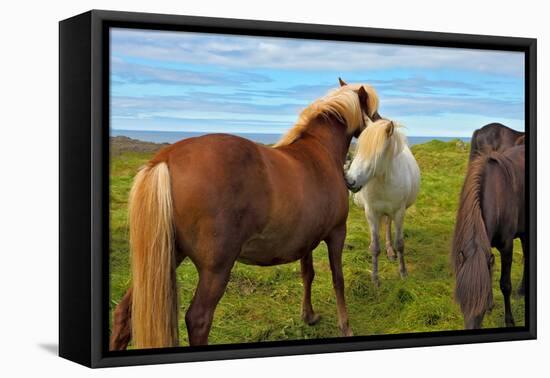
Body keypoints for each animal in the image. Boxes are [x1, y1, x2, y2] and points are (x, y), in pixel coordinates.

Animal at [110, 81, 382, 350]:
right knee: (198, 319)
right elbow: (338, 280)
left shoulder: (306, 240)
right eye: (371, 108)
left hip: (167, 257)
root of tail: (164, 159)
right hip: (215, 269)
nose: (381, 121)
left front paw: (309, 316)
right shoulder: (337, 233)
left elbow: (308, 274)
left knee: (125, 313)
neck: (320, 151)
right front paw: (345, 326)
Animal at [344, 118, 422, 286]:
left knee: (387, 225)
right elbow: (375, 246)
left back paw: (390, 250)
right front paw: (375, 278)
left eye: (377, 154)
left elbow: (400, 243)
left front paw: (403, 272)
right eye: (359, 149)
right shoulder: (372, 213)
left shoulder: (399, 212)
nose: (350, 182)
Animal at [454, 144, 528, 328]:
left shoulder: (507, 247)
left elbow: (505, 285)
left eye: (482, 304)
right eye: (462, 303)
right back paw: (522, 289)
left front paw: (509, 321)